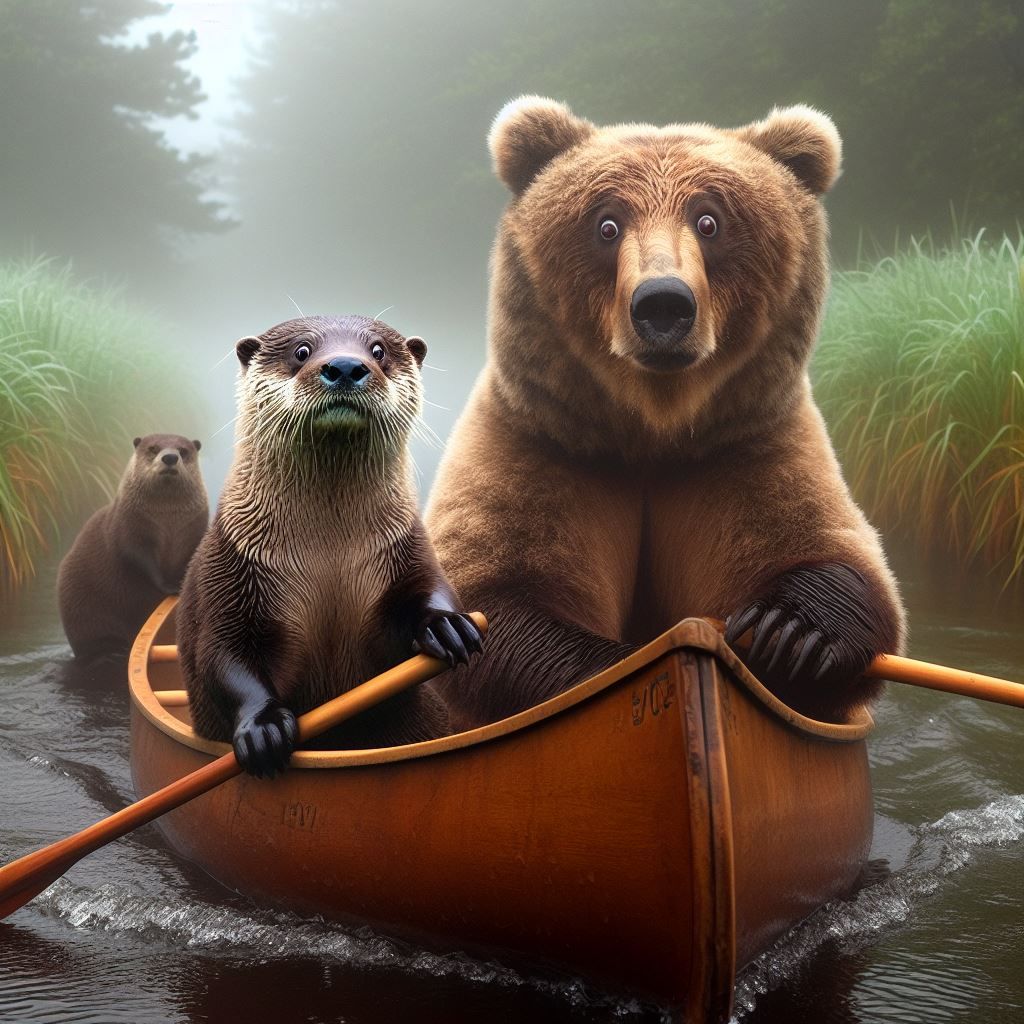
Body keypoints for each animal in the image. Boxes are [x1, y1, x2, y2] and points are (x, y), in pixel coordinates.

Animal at [58, 434, 208, 661]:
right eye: (153, 448)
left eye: (183, 451)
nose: (170, 457)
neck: (168, 521)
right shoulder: (130, 527)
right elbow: (136, 556)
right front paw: (171, 586)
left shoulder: (196, 529)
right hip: (84, 616)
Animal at [178, 315, 482, 778]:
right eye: (302, 351)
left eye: (378, 351)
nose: (344, 366)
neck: (329, 558)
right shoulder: (226, 571)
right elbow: (222, 654)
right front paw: (264, 728)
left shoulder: (409, 548)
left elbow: (430, 588)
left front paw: (447, 626)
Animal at [425, 96, 906, 728]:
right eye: (606, 224)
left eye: (710, 220)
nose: (663, 304)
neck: (654, 428)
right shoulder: (541, 442)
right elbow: (491, 594)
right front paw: (619, 662)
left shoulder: (745, 445)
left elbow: (829, 546)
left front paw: (788, 633)